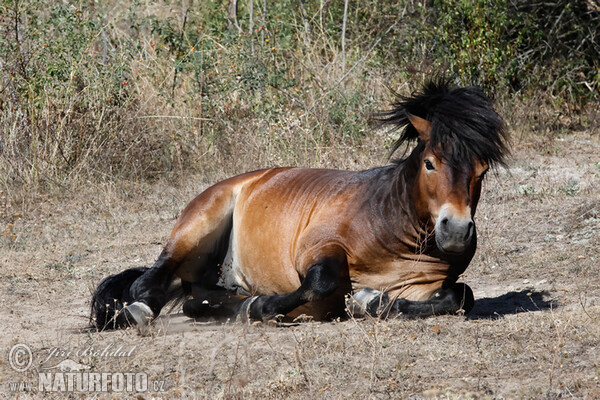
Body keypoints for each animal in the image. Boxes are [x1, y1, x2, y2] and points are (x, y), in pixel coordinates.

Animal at [91, 79, 508, 330]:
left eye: (482, 168)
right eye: (430, 163)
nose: (456, 231)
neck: (393, 224)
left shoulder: (423, 287)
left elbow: (459, 297)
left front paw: (369, 301)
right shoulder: (317, 247)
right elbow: (322, 282)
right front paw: (262, 307)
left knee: (197, 300)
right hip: (196, 229)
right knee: (147, 284)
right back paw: (141, 311)